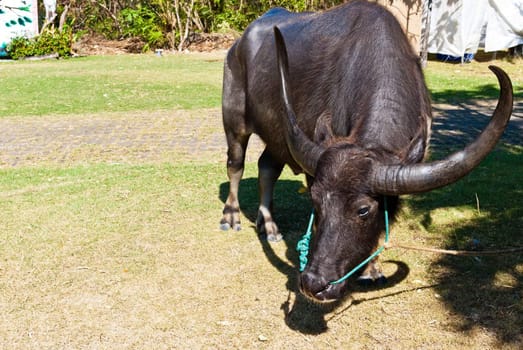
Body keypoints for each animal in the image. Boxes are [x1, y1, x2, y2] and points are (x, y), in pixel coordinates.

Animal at [219, 0, 512, 302]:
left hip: (277, 137)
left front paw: (371, 269)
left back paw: (269, 225)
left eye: (363, 210)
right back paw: (231, 217)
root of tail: (239, 43)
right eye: (316, 201)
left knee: (267, 166)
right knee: (236, 164)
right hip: (234, 121)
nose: (313, 283)